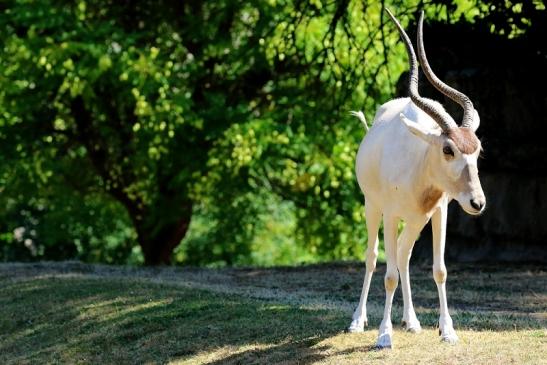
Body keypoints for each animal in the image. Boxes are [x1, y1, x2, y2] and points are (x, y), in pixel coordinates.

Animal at [348, 9, 486, 348]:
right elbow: (388, 274)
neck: (418, 166)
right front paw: (384, 336)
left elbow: (439, 270)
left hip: (415, 221)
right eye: (448, 149)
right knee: (374, 257)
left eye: (477, 149)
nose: (477, 203)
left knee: (403, 254)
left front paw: (447, 331)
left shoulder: (439, 212)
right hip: (373, 207)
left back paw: (411, 321)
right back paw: (358, 321)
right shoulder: (390, 214)